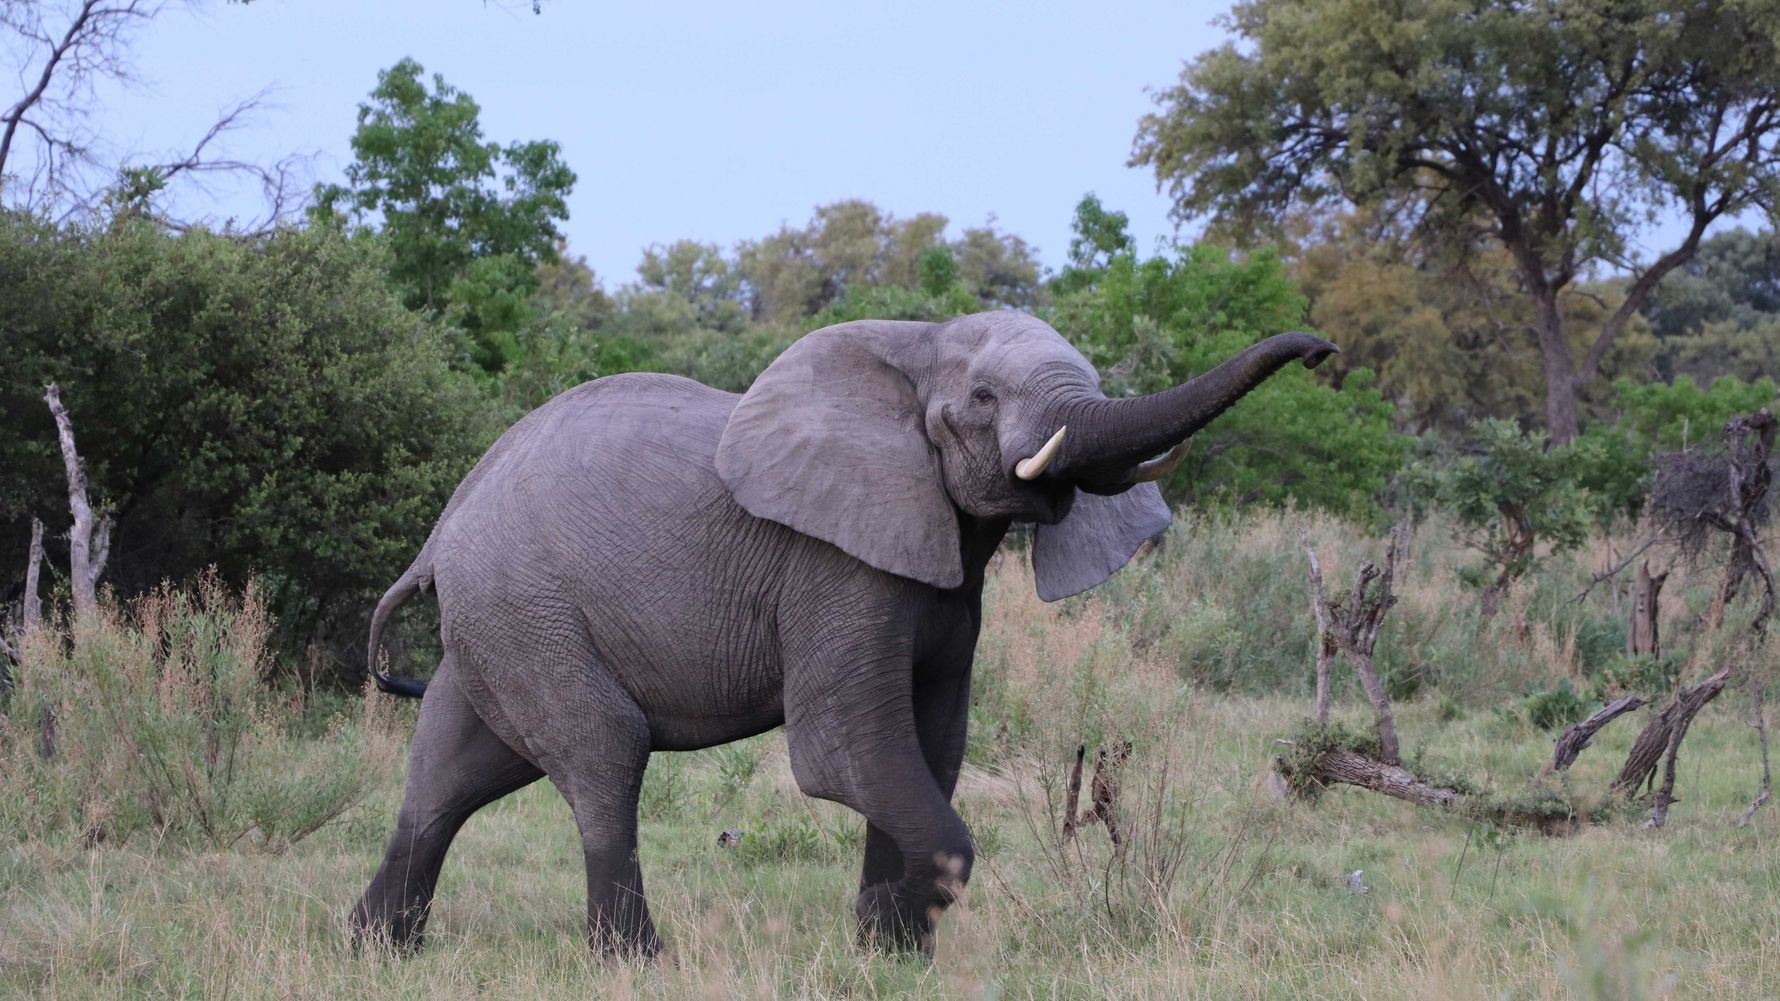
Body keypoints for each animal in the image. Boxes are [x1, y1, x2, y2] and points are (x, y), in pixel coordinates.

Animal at [350, 310, 1335, 958]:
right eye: (983, 396)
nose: (1325, 350)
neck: (912, 349)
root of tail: (443, 525)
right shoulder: (833, 567)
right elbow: (845, 750)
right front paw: (895, 936)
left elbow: (931, 742)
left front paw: (886, 954)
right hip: (526, 603)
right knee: (603, 752)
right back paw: (633, 960)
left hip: (499, 616)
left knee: (451, 772)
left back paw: (374, 947)